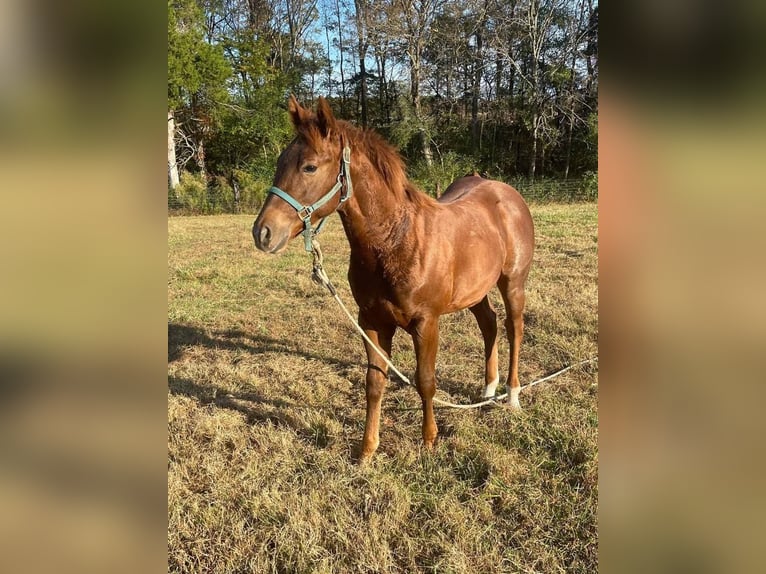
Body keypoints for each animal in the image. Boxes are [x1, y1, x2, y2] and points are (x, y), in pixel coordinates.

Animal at [253, 96, 534, 461]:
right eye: (280, 162)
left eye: (310, 167)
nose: (263, 233)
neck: (397, 241)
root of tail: (505, 193)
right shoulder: (372, 322)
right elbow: (375, 383)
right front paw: (367, 450)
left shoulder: (426, 322)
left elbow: (425, 381)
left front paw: (429, 440)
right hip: (475, 292)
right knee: (489, 323)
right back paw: (487, 390)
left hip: (512, 283)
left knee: (514, 328)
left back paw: (512, 397)